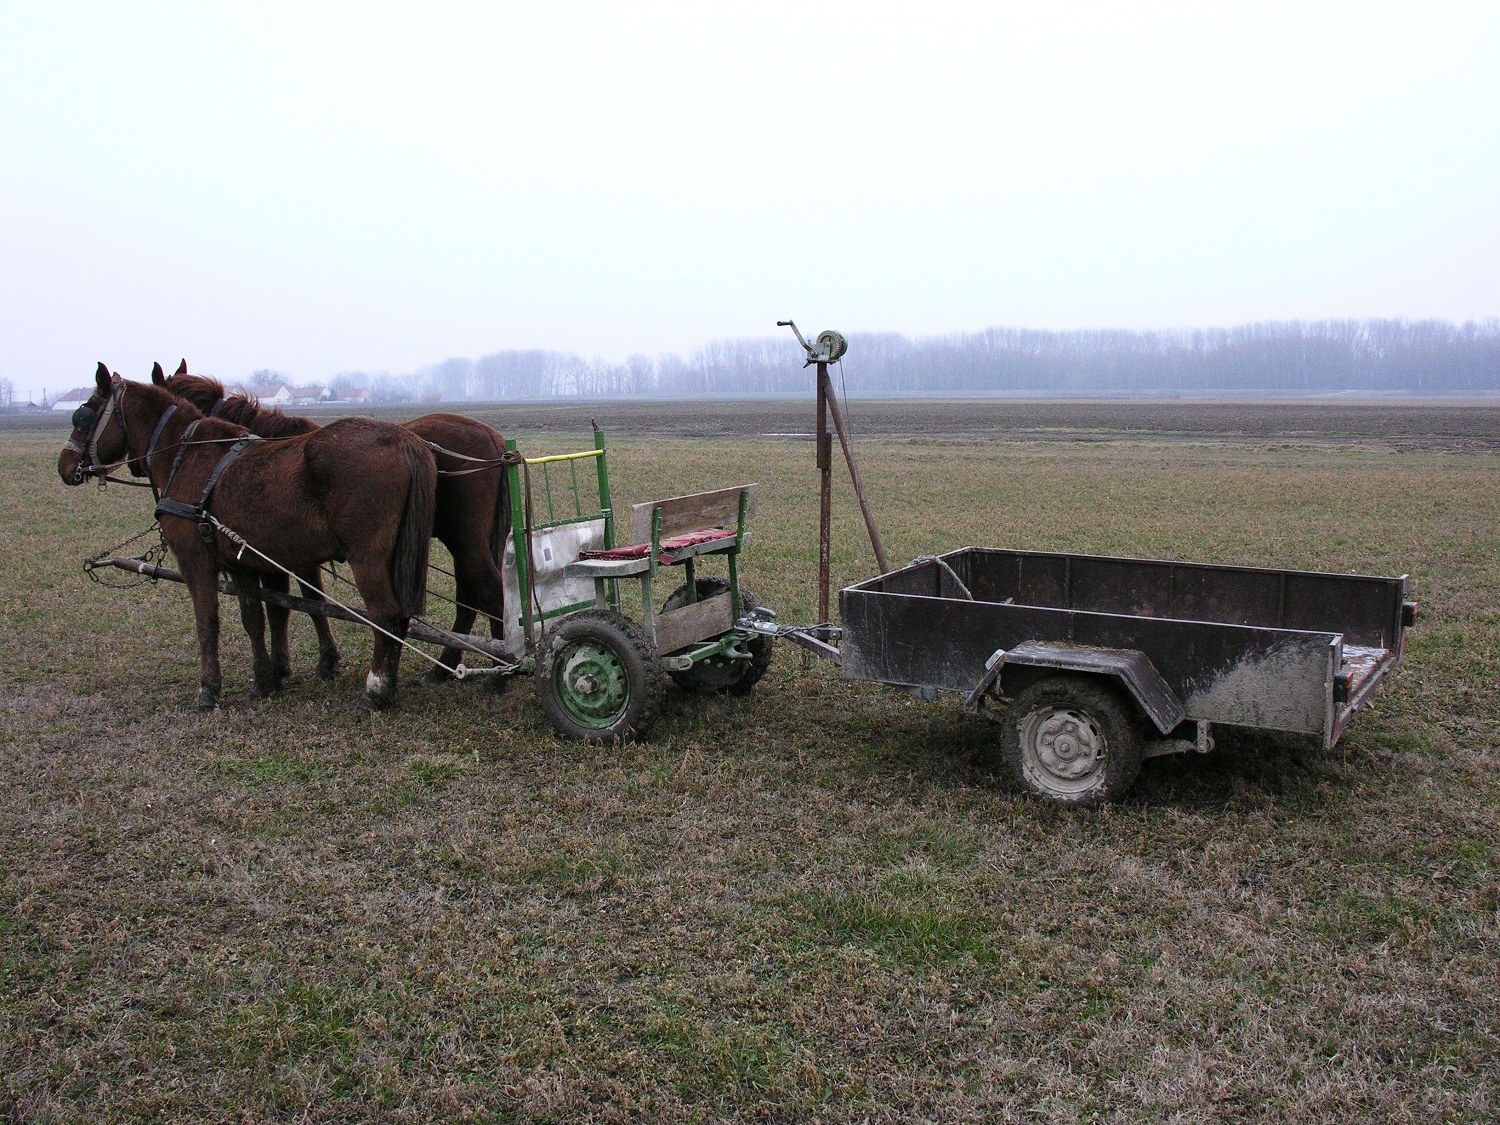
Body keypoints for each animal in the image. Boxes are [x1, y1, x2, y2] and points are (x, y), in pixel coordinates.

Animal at [58, 366, 435, 708]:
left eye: (85, 413)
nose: (64, 467)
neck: (188, 455)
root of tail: (404, 440)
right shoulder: (247, 564)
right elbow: (259, 616)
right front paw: (266, 679)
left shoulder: (197, 563)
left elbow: (208, 622)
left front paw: (209, 689)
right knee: (399, 617)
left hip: (367, 558)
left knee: (385, 615)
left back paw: (375, 691)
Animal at [153, 361, 510, 684]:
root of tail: (491, 437)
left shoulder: (290, 557)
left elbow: (305, 604)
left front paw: (320, 664)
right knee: (470, 597)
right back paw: (448, 666)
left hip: (464, 539)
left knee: (483, 593)